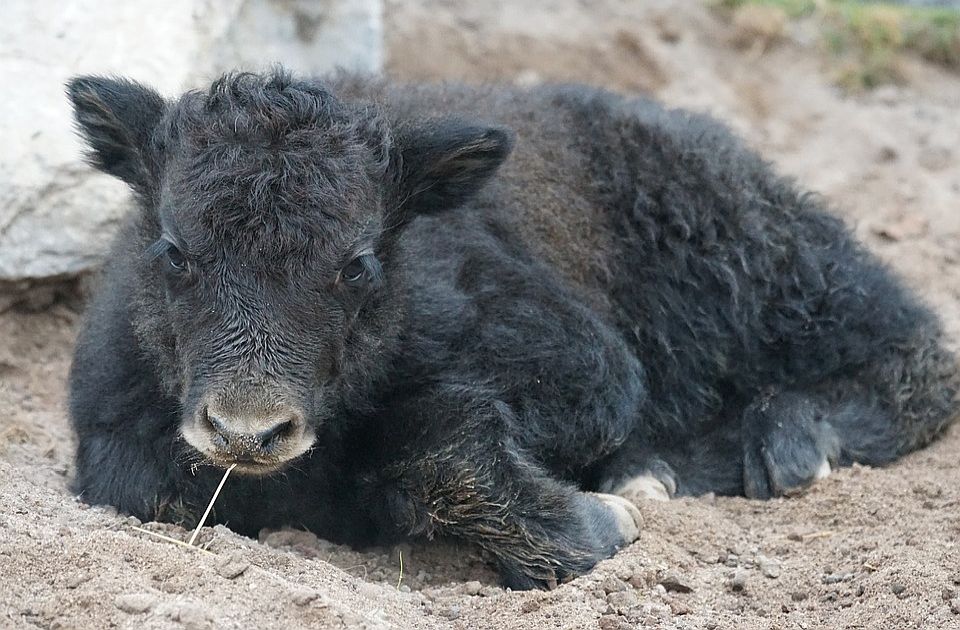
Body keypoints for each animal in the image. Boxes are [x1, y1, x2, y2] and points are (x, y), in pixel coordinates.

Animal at [67, 71, 960, 592]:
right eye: (174, 250)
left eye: (357, 263)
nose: (246, 430)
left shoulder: (584, 367)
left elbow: (439, 441)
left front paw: (605, 518)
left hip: (760, 267)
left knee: (909, 349)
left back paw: (788, 443)